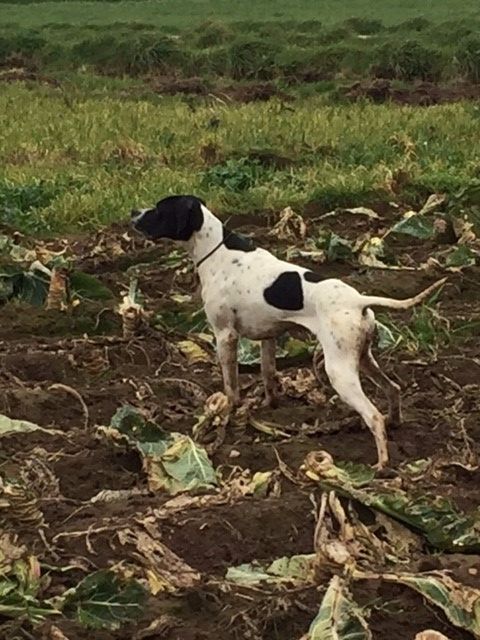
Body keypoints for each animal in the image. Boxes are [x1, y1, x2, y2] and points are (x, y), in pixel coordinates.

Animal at [131, 192, 446, 468]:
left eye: (159, 209)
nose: (133, 214)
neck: (217, 250)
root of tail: (359, 301)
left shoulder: (225, 336)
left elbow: (231, 387)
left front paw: (227, 414)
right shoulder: (269, 336)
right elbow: (268, 375)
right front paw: (266, 406)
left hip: (339, 371)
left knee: (373, 416)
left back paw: (381, 464)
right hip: (363, 358)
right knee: (393, 389)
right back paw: (395, 423)